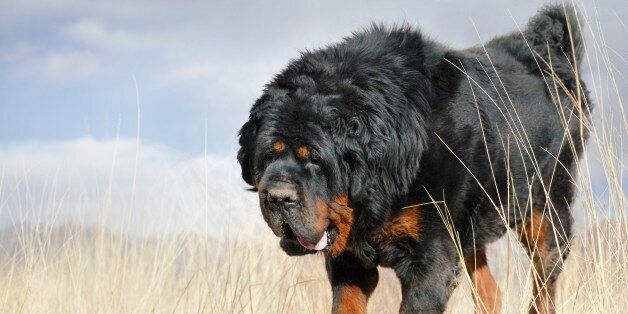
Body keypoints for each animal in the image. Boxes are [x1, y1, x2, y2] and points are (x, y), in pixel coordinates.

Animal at [236, 4, 588, 314]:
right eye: (268, 156)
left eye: (315, 159)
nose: (278, 198)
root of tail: (547, 51)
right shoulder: (350, 264)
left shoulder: (430, 261)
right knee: (489, 289)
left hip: (544, 211)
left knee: (544, 284)